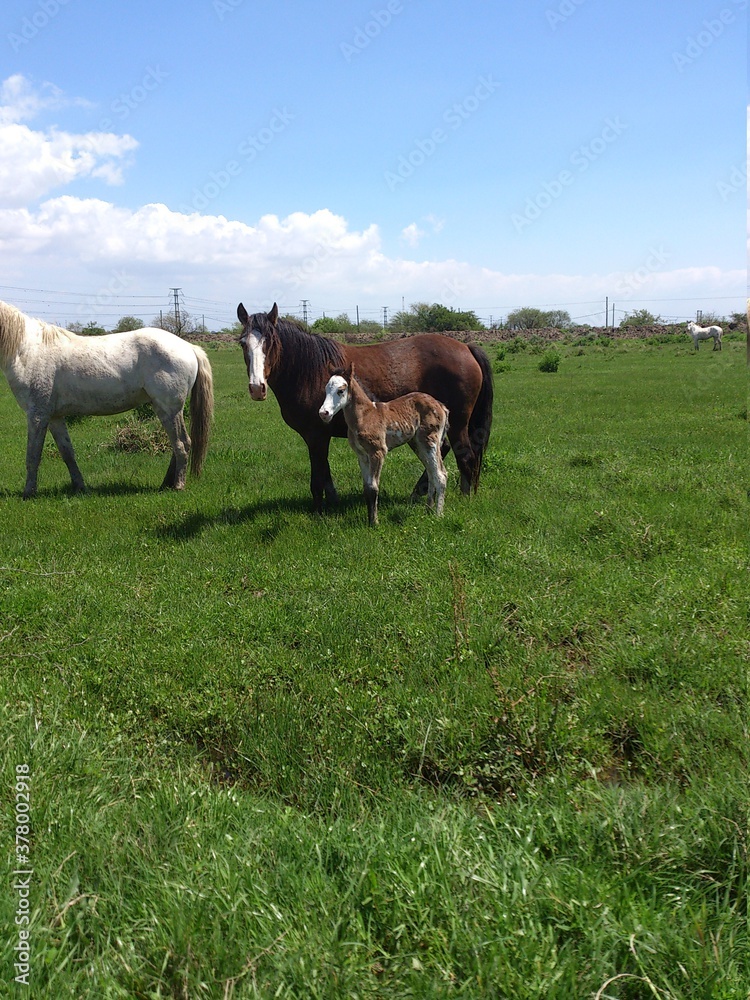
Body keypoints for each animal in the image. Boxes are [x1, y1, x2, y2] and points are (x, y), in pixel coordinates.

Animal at [0, 300, 214, 498]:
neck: (28, 350)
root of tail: (188, 347)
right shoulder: (54, 417)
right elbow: (67, 453)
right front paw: (80, 487)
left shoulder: (37, 416)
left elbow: (33, 455)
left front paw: (28, 493)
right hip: (164, 409)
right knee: (177, 445)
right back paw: (165, 484)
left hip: (169, 408)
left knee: (182, 444)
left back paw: (178, 485)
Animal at [319, 363, 449, 525]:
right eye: (326, 389)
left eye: (341, 390)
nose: (323, 413)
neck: (366, 416)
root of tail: (440, 405)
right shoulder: (362, 456)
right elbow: (366, 487)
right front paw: (370, 519)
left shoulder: (378, 452)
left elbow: (373, 487)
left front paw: (374, 523)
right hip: (418, 444)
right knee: (431, 473)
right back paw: (428, 510)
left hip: (430, 441)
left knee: (440, 474)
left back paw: (438, 515)